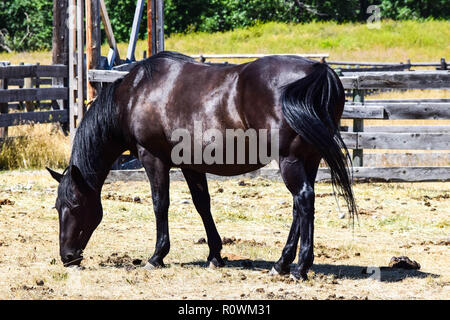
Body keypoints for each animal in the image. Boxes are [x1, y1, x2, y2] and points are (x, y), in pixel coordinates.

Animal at [45, 50, 356, 280]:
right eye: (57, 207)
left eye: (74, 205)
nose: (67, 257)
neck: (135, 95)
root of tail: (317, 70)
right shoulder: (191, 164)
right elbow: (202, 204)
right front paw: (215, 255)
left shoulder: (153, 158)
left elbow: (160, 203)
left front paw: (157, 256)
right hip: (308, 160)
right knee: (299, 207)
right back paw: (281, 263)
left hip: (290, 160)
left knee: (303, 200)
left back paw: (299, 267)